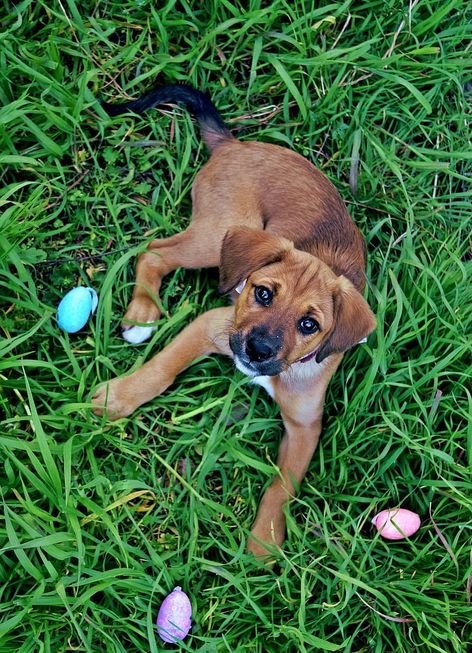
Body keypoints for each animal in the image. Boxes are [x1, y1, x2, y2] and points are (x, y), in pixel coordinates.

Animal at [93, 84, 376, 556]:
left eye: (309, 325)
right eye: (263, 293)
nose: (256, 351)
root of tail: (234, 144)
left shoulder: (305, 426)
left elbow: (281, 487)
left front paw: (264, 544)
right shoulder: (212, 325)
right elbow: (161, 369)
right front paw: (119, 397)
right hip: (218, 234)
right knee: (154, 252)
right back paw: (143, 313)